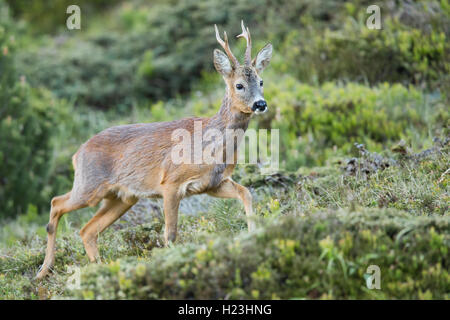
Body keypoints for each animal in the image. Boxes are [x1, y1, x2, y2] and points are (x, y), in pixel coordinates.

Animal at [37, 20, 270, 280]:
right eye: (239, 85)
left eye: (261, 81)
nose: (260, 104)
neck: (212, 146)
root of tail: (77, 154)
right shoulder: (170, 182)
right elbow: (170, 233)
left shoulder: (213, 183)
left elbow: (246, 193)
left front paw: (252, 233)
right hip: (90, 186)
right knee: (57, 203)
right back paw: (44, 270)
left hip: (122, 197)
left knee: (87, 230)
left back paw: (99, 270)